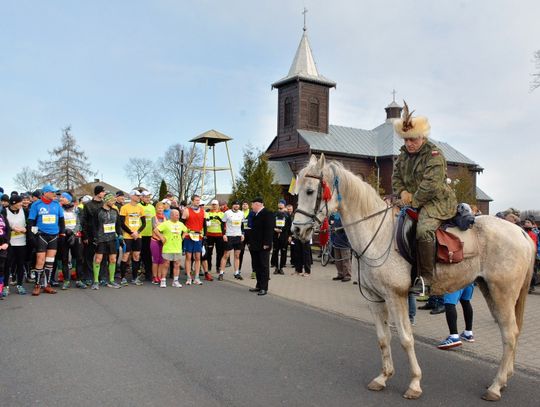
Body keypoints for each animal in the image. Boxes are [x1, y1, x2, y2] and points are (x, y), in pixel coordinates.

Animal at [294, 155, 532, 402]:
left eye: (310, 191)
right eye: (297, 192)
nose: (297, 231)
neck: (377, 234)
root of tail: (520, 232)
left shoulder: (395, 296)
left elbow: (406, 339)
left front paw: (415, 383)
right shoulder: (374, 299)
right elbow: (383, 338)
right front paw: (383, 377)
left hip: (502, 294)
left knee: (510, 334)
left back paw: (496, 386)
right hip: (491, 291)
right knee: (510, 333)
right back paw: (503, 380)